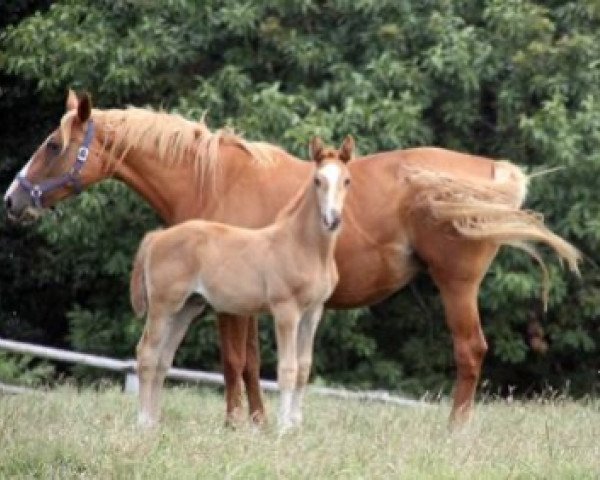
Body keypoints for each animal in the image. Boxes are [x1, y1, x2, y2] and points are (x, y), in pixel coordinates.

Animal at [131, 136, 354, 432]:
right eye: (318, 180)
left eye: (347, 180)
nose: (333, 219)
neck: (302, 246)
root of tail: (157, 238)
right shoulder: (286, 311)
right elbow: (287, 369)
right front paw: (283, 427)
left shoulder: (313, 312)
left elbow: (304, 368)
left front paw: (296, 424)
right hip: (162, 306)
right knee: (146, 353)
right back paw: (143, 422)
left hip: (186, 308)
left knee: (162, 359)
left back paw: (154, 422)